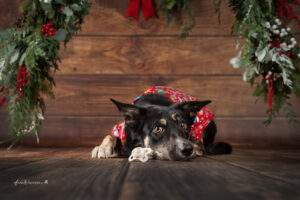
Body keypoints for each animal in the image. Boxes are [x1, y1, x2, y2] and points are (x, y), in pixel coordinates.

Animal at [91, 86, 232, 161]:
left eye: (183, 125)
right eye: (157, 129)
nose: (187, 150)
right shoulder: (122, 129)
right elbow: (110, 135)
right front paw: (102, 148)